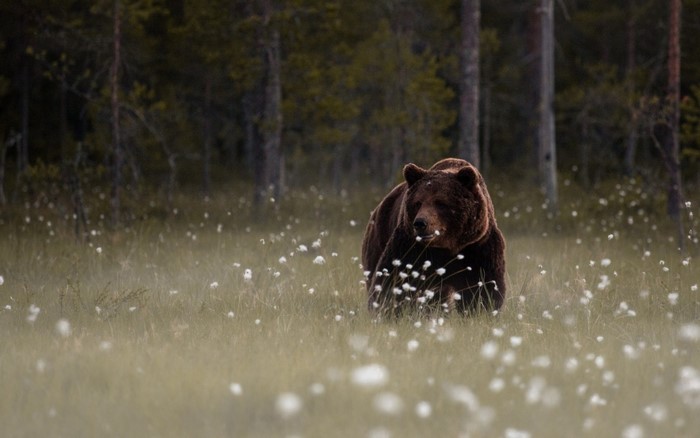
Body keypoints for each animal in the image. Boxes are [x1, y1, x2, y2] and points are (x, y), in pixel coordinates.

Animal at [361, 158, 506, 316]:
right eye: (418, 203)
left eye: (441, 203)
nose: (420, 223)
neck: (446, 247)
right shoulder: (410, 246)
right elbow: (395, 277)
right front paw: (389, 309)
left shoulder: (477, 246)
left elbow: (482, 286)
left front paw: (480, 310)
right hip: (379, 237)